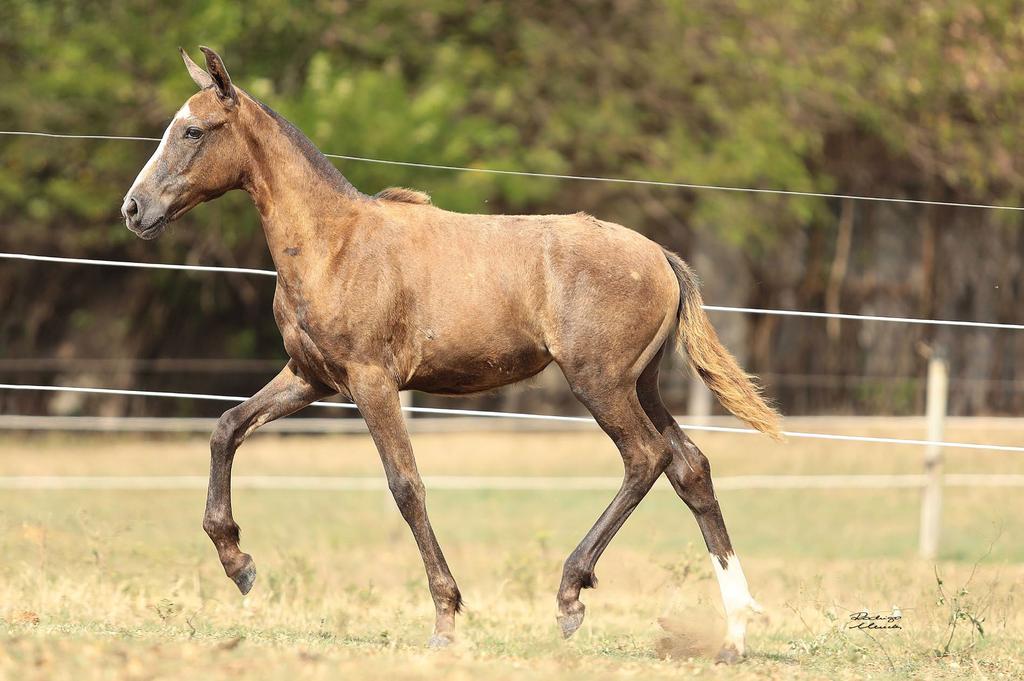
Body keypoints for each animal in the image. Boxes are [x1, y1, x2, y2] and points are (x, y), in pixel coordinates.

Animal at [121, 47, 774, 663]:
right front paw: (239, 562)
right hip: (642, 384)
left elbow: (406, 485)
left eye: (193, 131)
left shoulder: (371, 381)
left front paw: (445, 619)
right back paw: (733, 634)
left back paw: (571, 596)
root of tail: (660, 255)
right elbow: (226, 427)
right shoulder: (312, 378)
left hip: (601, 383)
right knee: (690, 467)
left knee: (646, 458)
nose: (134, 209)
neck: (334, 244)